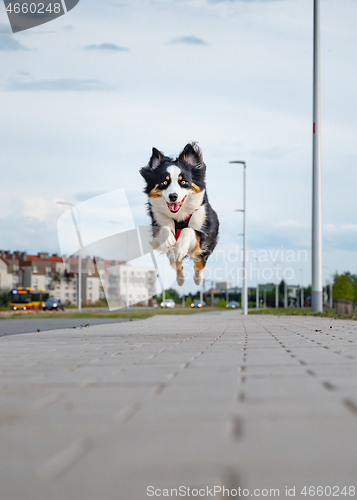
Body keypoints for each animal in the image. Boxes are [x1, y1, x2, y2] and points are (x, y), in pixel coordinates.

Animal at [140, 143, 218, 288]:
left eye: (183, 182)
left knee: (199, 263)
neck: (179, 216)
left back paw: (198, 280)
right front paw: (169, 238)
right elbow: (164, 228)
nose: (173, 196)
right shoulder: (156, 227)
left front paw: (181, 247)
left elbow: (188, 230)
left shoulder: (202, 233)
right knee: (177, 263)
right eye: (164, 182)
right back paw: (181, 279)